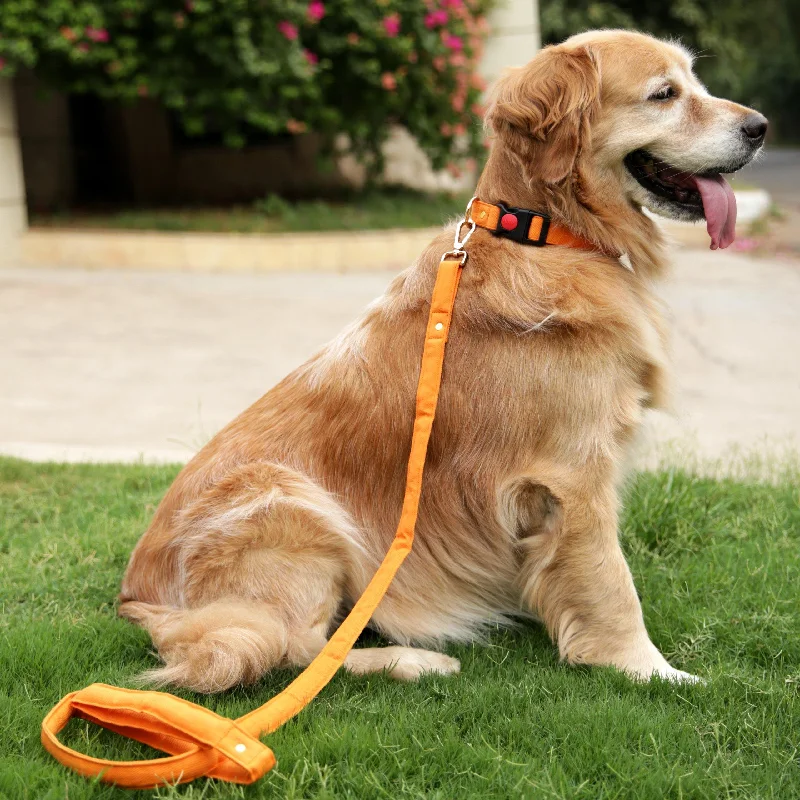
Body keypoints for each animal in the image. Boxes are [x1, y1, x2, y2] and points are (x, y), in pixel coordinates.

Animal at [117, 31, 764, 692]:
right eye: (665, 94)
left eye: (694, 82)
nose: (761, 127)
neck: (542, 231)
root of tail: (138, 601)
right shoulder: (574, 472)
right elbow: (612, 583)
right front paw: (649, 670)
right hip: (292, 503)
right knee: (291, 648)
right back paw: (414, 659)